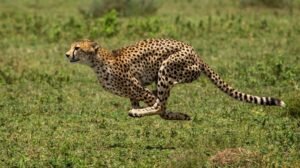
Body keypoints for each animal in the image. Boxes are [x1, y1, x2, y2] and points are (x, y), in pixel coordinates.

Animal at [65, 38, 286, 120]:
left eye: (77, 48)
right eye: (71, 46)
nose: (67, 55)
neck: (96, 62)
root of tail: (195, 52)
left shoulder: (139, 87)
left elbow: (158, 105)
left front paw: (143, 111)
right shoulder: (133, 92)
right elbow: (153, 104)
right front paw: (178, 115)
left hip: (166, 69)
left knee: (160, 103)